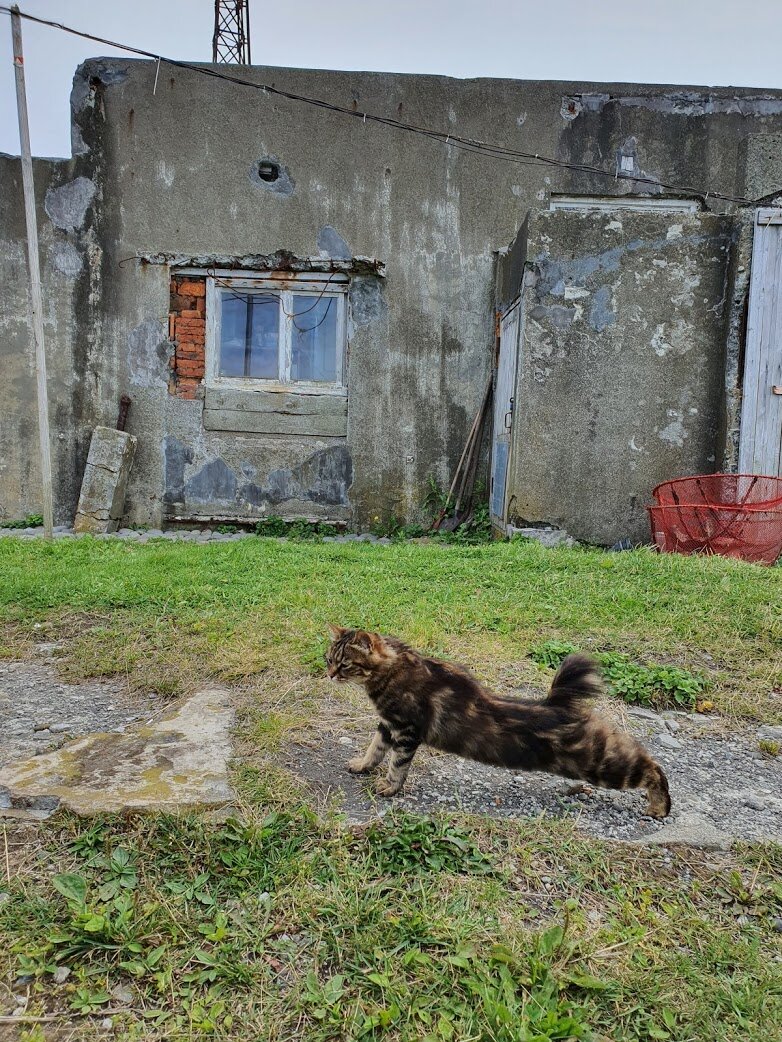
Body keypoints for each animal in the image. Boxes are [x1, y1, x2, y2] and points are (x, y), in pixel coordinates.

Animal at [325, 625, 675, 821]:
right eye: (329, 659)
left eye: (344, 664)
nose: (328, 675)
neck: (393, 670)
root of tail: (556, 705)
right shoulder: (388, 725)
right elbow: (374, 750)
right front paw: (362, 765)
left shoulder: (407, 730)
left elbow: (397, 764)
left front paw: (389, 787)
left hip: (598, 762)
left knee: (651, 766)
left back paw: (659, 807)